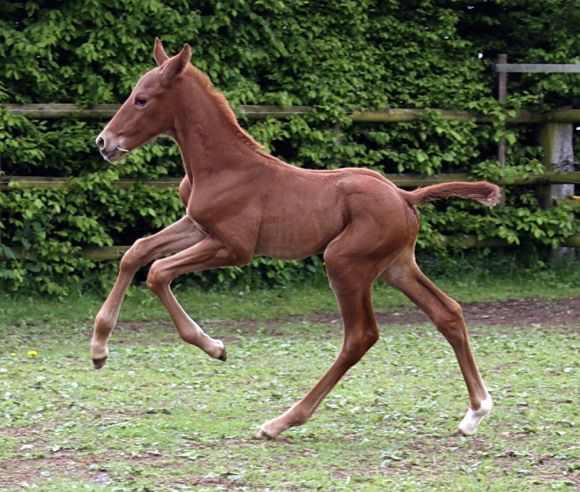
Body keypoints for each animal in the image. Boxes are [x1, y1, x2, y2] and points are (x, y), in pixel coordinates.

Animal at [92, 39, 498, 438]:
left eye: (142, 99)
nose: (103, 142)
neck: (224, 167)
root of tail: (404, 196)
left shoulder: (233, 247)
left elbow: (158, 271)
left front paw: (214, 347)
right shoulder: (197, 225)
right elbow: (136, 252)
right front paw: (98, 349)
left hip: (345, 262)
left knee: (360, 336)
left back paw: (281, 421)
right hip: (396, 266)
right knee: (447, 312)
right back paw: (475, 412)